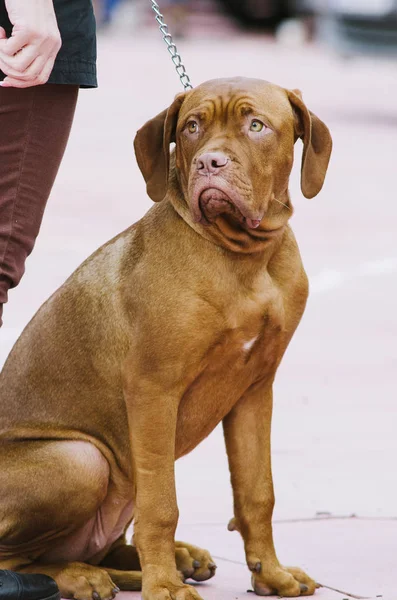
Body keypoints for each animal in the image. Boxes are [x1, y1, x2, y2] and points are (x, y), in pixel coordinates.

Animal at [0, 79, 332, 600]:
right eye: (191, 127)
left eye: (256, 125)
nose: (210, 163)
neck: (243, 257)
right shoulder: (154, 390)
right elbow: (162, 505)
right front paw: (164, 587)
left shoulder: (256, 389)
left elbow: (258, 493)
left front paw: (272, 574)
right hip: (81, 458)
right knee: (23, 558)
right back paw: (88, 576)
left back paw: (171, 559)